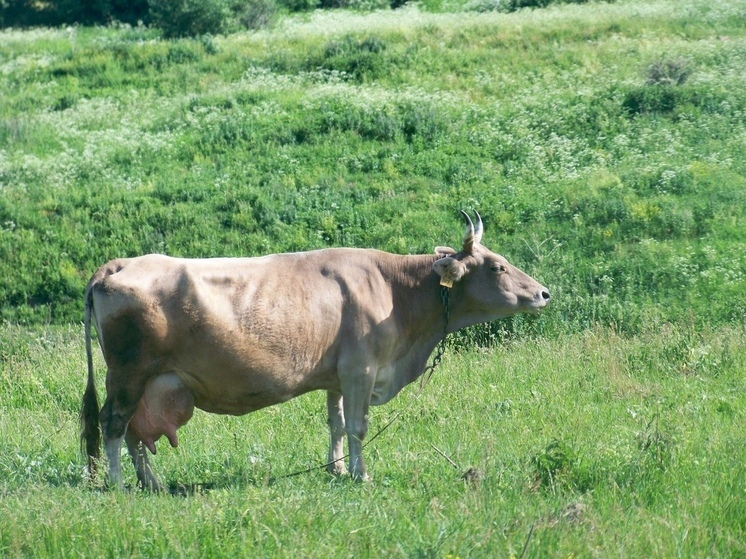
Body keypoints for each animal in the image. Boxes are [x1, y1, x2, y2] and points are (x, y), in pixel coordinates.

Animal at [81, 211, 548, 490]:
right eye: (498, 266)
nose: (543, 293)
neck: (394, 289)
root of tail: (119, 264)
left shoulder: (338, 376)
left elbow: (336, 425)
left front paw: (336, 468)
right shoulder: (361, 369)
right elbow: (358, 426)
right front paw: (361, 475)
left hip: (148, 381)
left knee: (136, 431)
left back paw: (152, 483)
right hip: (127, 374)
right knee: (113, 424)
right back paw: (119, 484)